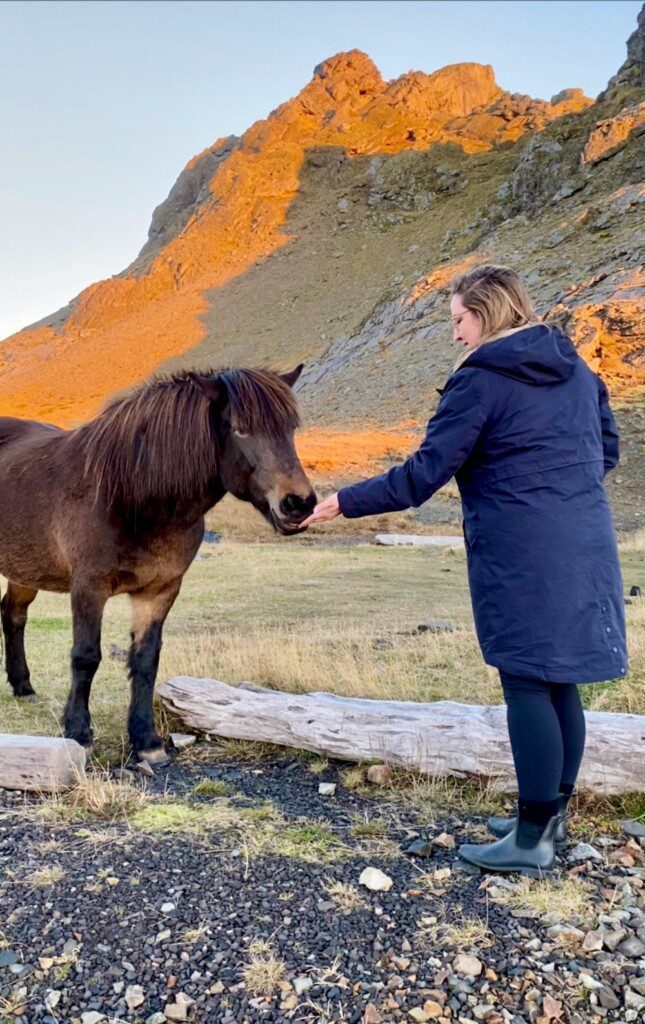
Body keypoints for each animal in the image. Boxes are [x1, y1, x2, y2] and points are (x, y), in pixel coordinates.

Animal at [0, 366, 315, 761]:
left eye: (290, 427)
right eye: (240, 428)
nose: (299, 503)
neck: (128, 492)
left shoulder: (160, 590)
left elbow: (145, 660)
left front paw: (146, 741)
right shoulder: (88, 586)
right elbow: (86, 657)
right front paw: (79, 732)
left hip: (24, 571)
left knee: (13, 614)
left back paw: (23, 686)